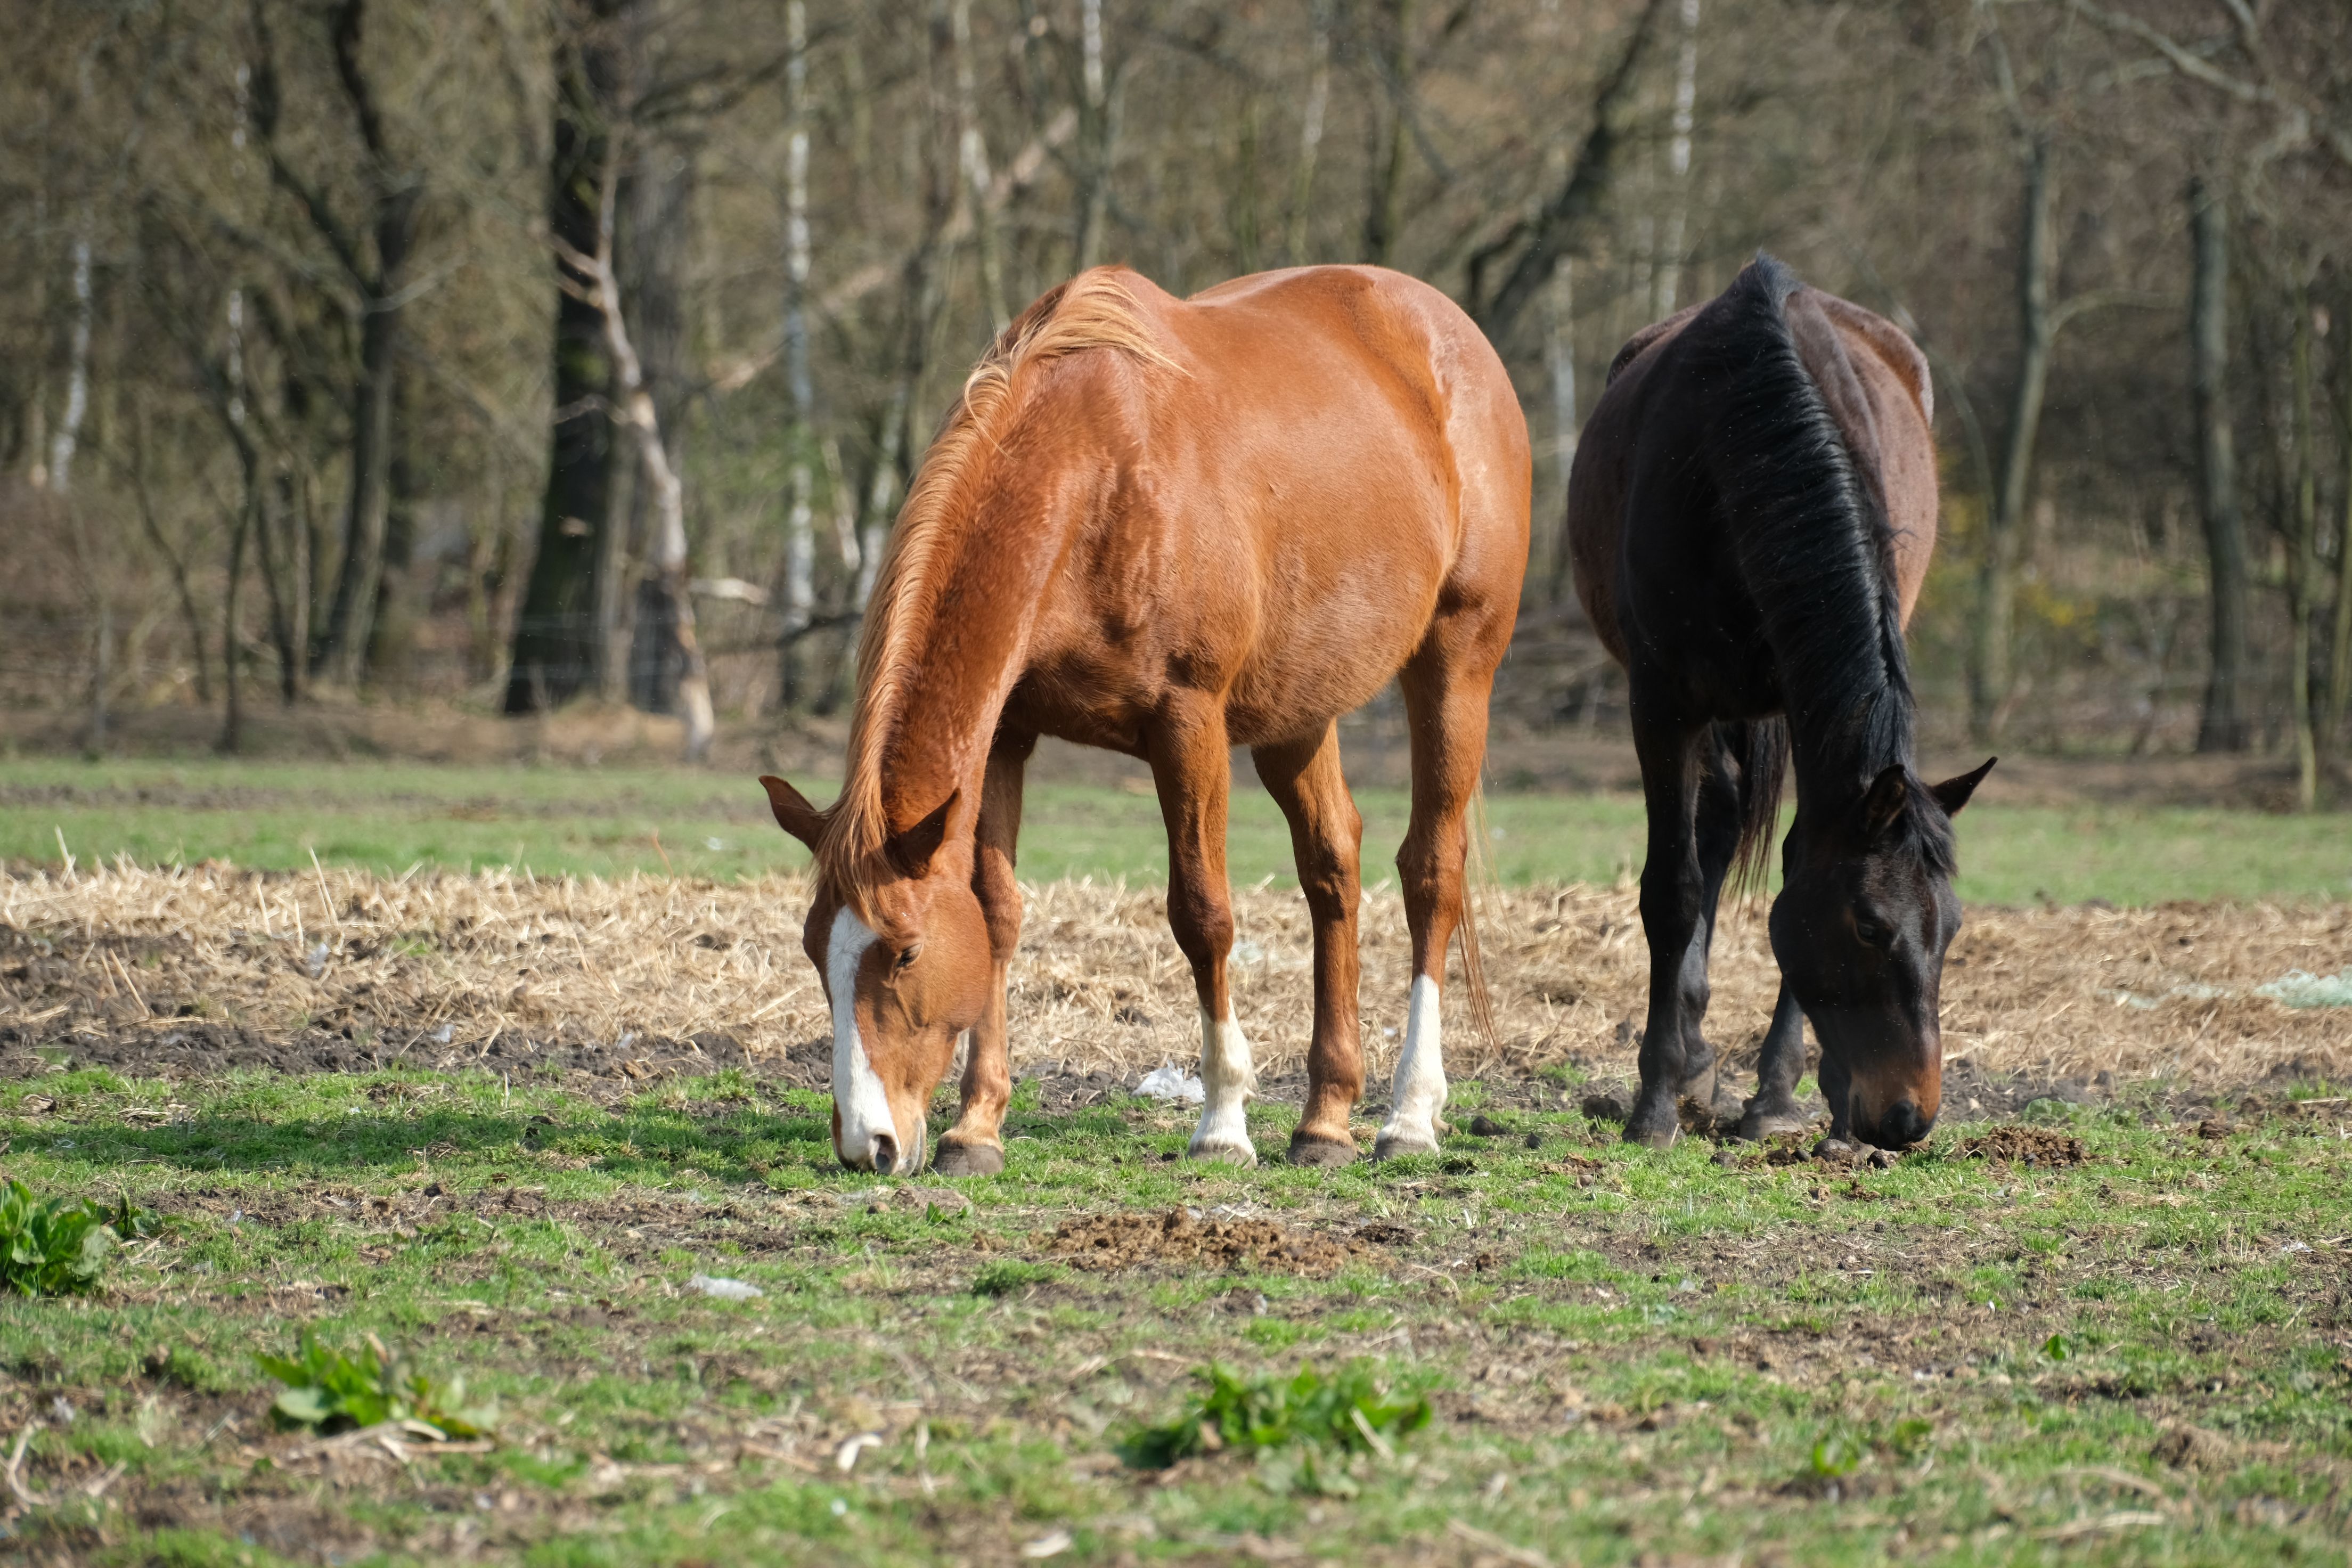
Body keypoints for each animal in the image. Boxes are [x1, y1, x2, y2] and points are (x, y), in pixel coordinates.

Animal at [759, 264, 1530, 1175]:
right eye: (816, 948)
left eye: (905, 950)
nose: (864, 1143)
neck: (1093, 478)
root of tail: (1451, 335)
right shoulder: (1008, 732)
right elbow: (997, 911)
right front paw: (977, 1125)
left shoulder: (1186, 723)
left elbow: (1203, 915)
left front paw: (1224, 1121)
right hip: (1298, 709)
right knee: (1333, 866)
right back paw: (1325, 1119)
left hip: (1456, 667)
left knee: (1430, 873)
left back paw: (1408, 1114)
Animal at [1565, 254, 1993, 1151]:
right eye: (1869, 926)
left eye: (1953, 927)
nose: (1907, 1118)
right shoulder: (1661, 703)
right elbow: (1674, 889)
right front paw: (1655, 1100)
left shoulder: (1806, 705)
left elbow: (1799, 858)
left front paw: (1784, 1092)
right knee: (1716, 825)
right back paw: (1691, 1056)